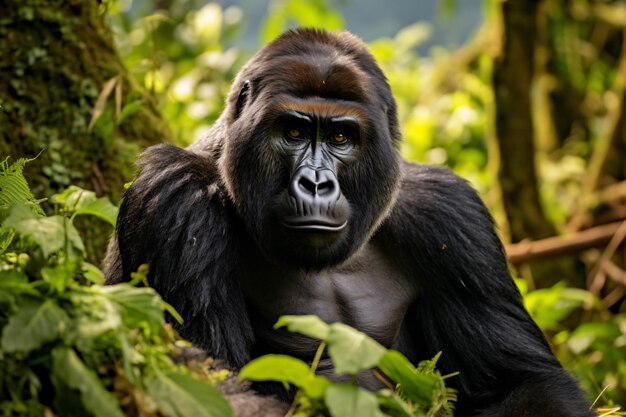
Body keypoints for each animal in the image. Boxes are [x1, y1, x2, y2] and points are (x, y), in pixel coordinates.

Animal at [105, 29, 592, 416]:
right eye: (294, 132)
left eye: (341, 137)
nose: (316, 184)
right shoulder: (175, 194)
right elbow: (211, 377)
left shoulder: (451, 216)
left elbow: (519, 382)